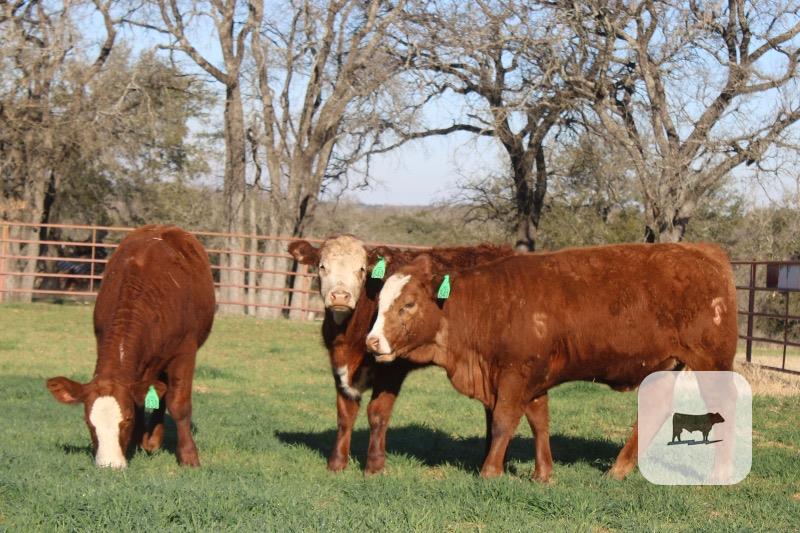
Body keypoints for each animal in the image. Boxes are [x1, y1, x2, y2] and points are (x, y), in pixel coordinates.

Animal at [46, 225, 215, 469]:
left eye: (126, 420)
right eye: (89, 422)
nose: (109, 465)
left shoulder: (185, 351)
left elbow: (178, 404)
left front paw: (189, 457)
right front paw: (135, 444)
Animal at [288, 236, 554, 479]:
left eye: (361, 269)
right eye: (322, 266)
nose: (340, 296)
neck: (349, 335)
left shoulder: (391, 368)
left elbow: (377, 414)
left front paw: (374, 466)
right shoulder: (340, 366)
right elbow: (345, 414)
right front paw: (336, 464)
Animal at [366, 242, 738, 480]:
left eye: (408, 304)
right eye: (380, 301)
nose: (372, 341)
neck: (487, 305)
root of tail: (704, 251)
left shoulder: (515, 375)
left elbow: (503, 421)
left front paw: (490, 472)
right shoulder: (534, 377)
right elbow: (539, 421)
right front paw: (543, 474)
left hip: (710, 361)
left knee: (723, 407)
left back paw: (720, 474)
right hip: (662, 367)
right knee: (654, 408)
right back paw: (617, 470)